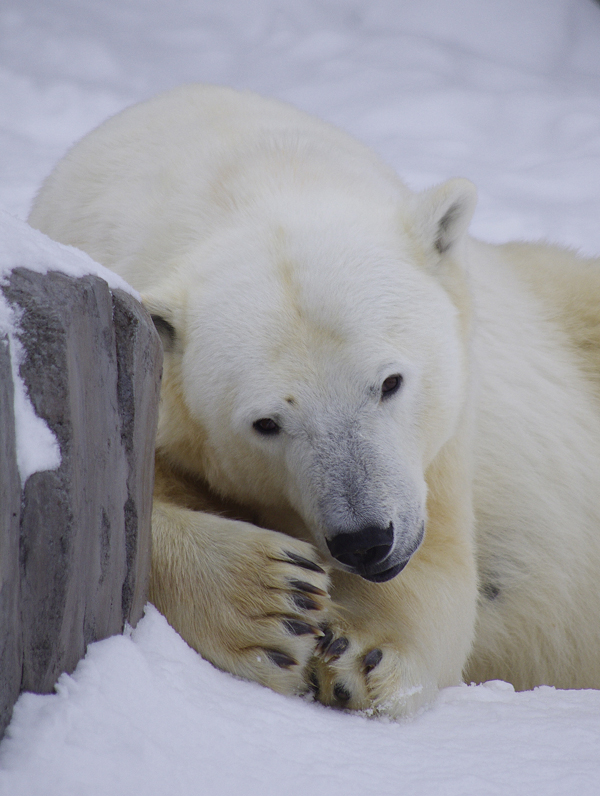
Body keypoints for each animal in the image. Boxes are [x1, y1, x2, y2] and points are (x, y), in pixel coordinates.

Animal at [28, 84, 600, 720]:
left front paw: (362, 654)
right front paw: (270, 599)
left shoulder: (449, 439)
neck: (237, 172)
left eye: (391, 382)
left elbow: (443, 572)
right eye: (266, 423)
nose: (367, 539)